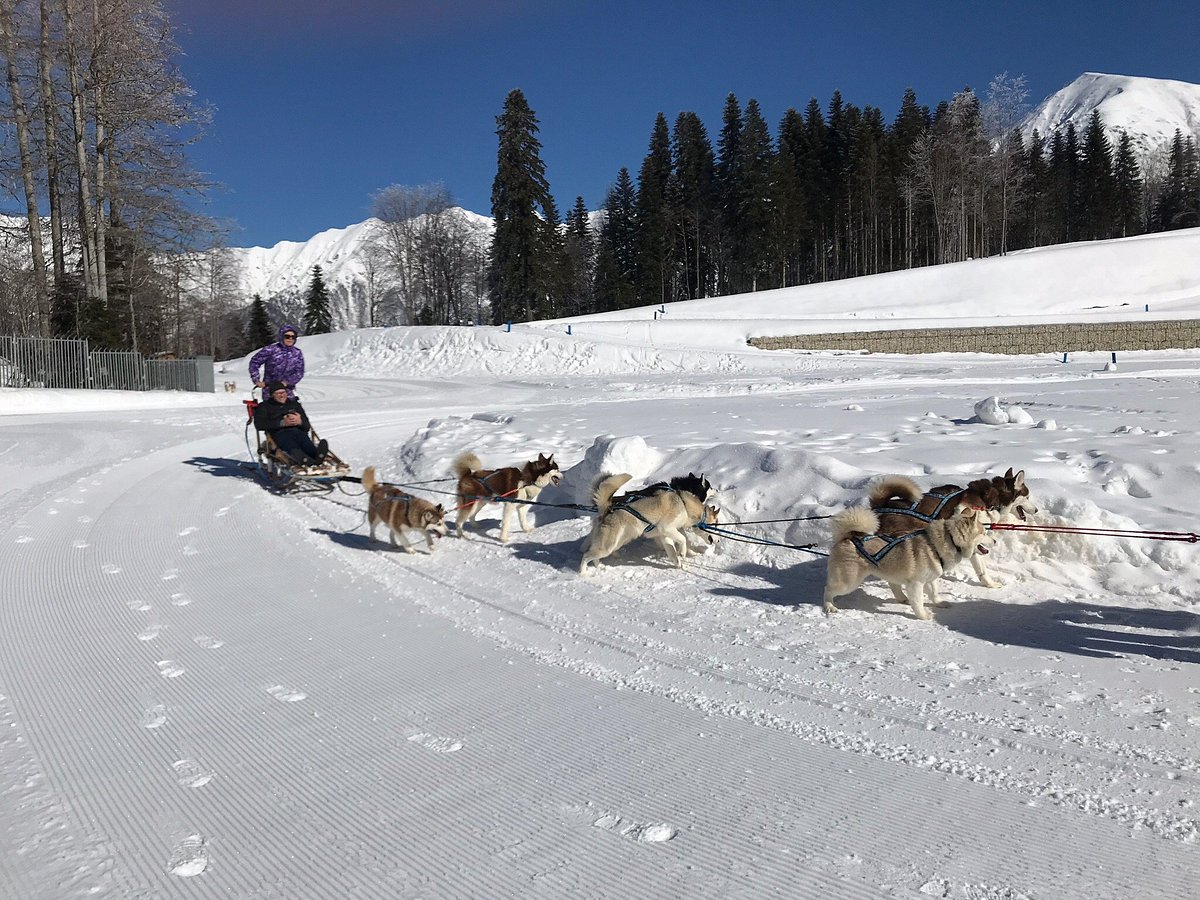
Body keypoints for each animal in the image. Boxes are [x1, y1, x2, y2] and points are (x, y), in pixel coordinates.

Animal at [578, 472, 715, 578]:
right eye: (710, 486)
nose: (717, 490)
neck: (684, 503)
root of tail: (607, 509)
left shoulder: (665, 534)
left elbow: (673, 551)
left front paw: (681, 563)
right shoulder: (666, 528)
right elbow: (683, 540)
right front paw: (683, 552)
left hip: (617, 542)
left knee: (594, 553)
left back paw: (599, 565)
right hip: (608, 546)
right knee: (586, 556)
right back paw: (583, 573)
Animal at [820, 504, 988, 624]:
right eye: (984, 533)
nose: (993, 540)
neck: (947, 540)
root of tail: (848, 537)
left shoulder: (930, 579)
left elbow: (934, 593)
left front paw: (939, 603)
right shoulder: (916, 584)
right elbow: (919, 602)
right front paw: (923, 616)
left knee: (893, 585)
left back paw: (902, 598)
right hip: (848, 582)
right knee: (828, 589)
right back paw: (829, 606)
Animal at [868, 468, 1036, 595]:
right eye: (1027, 497)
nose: (1036, 510)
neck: (993, 502)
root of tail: (880, 507)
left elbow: (981, 569)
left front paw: (990, 584)